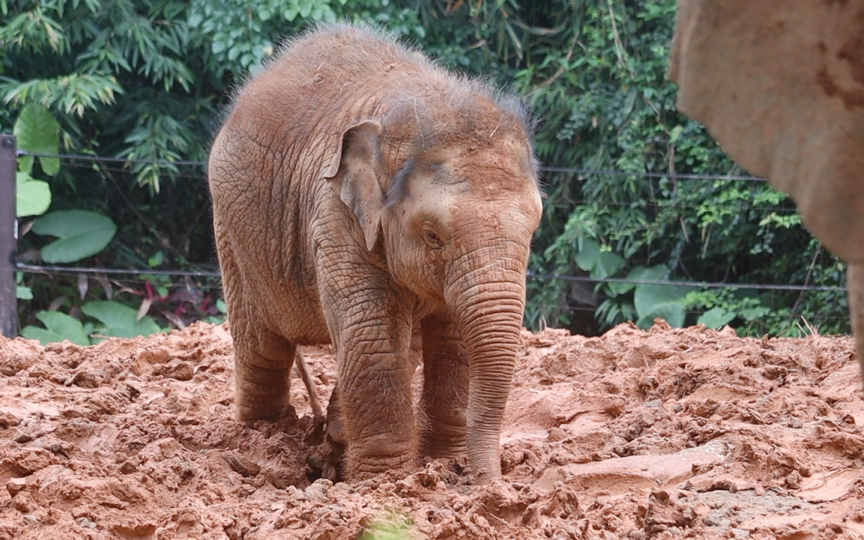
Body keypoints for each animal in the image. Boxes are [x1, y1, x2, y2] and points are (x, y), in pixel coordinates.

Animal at [208, 23, 540, 484]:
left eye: (533, 230)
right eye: (433, 236)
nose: (493, 486)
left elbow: (453, 339)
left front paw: (444, 464)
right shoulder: (334, 214)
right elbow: (372, 332)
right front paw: (385, 483)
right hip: (232, 235)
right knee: (262, 348)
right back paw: (262, 437)